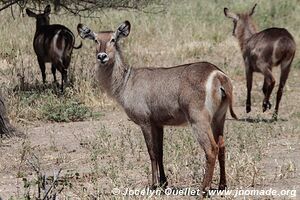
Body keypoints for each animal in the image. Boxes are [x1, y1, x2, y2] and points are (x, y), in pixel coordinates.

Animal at [78, 20, 238, 194]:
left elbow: (152, 153)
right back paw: (222, 185)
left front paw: (153, 185)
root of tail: (218, 75)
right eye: (95, 40)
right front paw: (163, 183)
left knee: (211, 149)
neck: (126, 81)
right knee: (222, 146)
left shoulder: (145, 122)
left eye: (113, 39)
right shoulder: (159, 123)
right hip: (219, 118)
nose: (102, 56)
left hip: (198, 119)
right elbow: (160, 152)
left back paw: (203, 190)